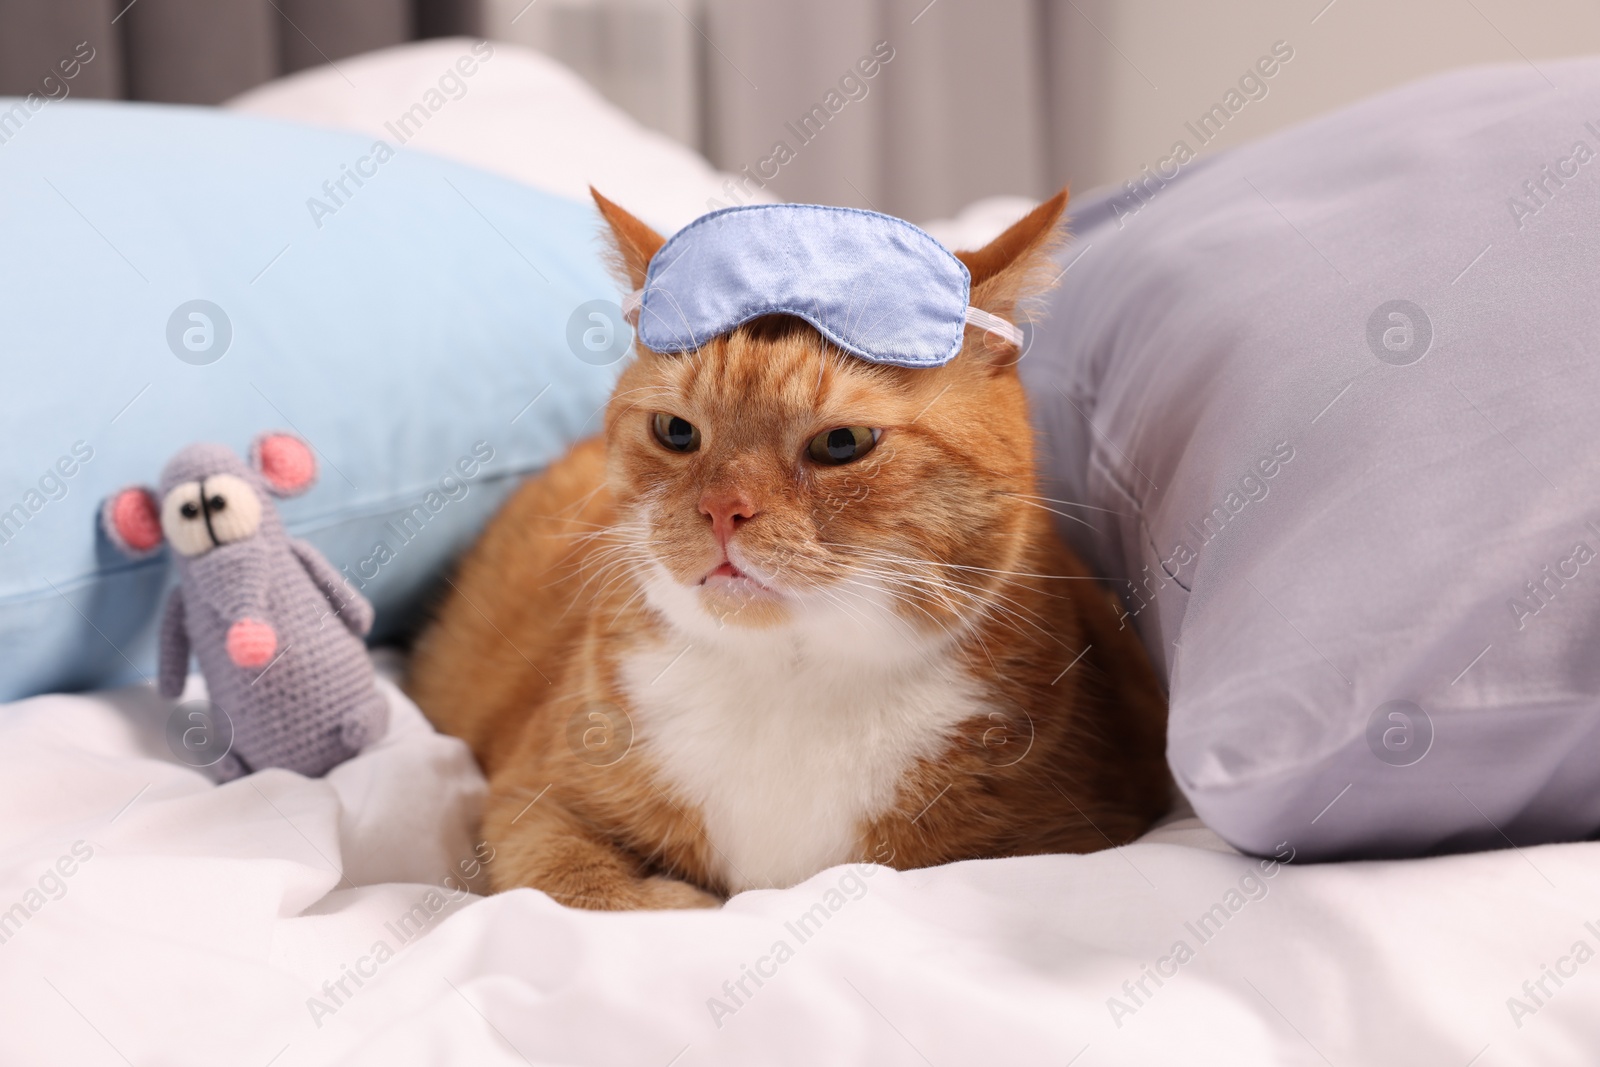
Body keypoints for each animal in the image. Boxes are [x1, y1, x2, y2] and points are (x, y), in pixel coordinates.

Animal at [406, 187, 1171, 908]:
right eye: (676, 432)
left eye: (843, 443)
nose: (722, 509)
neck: (790, 681)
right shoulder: (530, 797)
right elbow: (571, 882)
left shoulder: (1075, 835)